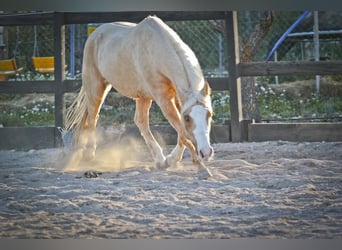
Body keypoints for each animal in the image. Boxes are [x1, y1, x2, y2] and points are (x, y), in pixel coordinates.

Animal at [64, 15, 214, 179]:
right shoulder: (163, 99)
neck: (156, 49)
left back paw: (160, 160)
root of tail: (94, 35)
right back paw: (89, 156)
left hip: (142, 97)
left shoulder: (177, 97)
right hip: (97, 88)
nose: (206, 152)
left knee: (140, 121)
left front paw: (170, 160)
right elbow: (184, 133)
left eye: (209, 114)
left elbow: (182, 134)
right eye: (187, 118)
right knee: (93, 118)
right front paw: (201, 168)